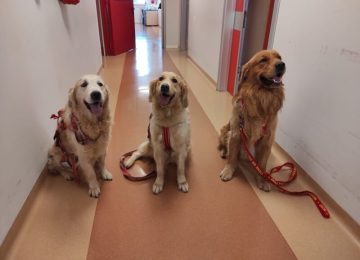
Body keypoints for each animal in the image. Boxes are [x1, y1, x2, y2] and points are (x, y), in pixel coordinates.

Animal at [217, 49, 286, 191]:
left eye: (279, 57)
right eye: (263, 60)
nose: (282, 65)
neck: (262, 96)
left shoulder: (267, 140)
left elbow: (262, 164)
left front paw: (262, 180)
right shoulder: (236, 133)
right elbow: (232, 157)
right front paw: (228, 171)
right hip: (225, 130)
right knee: (224, 146)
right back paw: (223, 152)